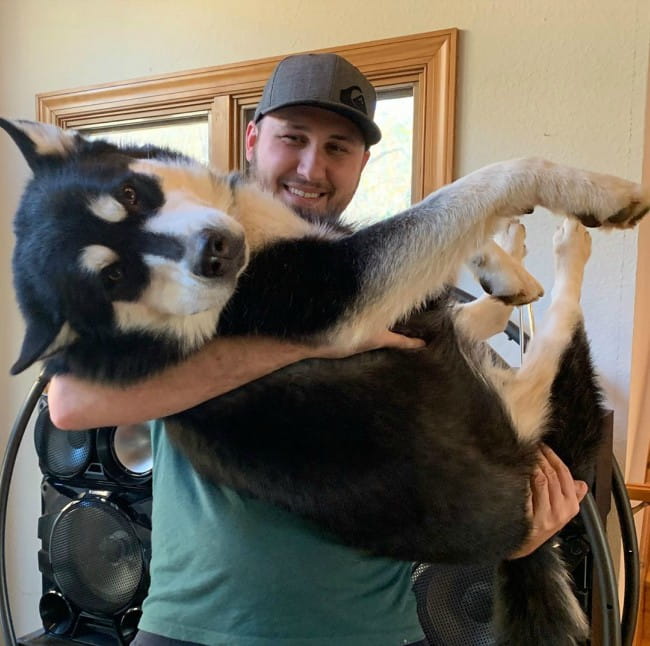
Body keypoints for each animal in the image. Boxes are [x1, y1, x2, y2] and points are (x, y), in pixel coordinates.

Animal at [2, 117, 644, 646]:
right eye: (115, 277)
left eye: (130, 195)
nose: (217, 251)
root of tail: (516, 533)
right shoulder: (344, 297)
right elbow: (483, 185)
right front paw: (592, 195)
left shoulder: (350, 260)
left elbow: (451, 249)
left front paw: (502, 266)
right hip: (527, 407)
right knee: (556, 333)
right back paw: (571, 246)